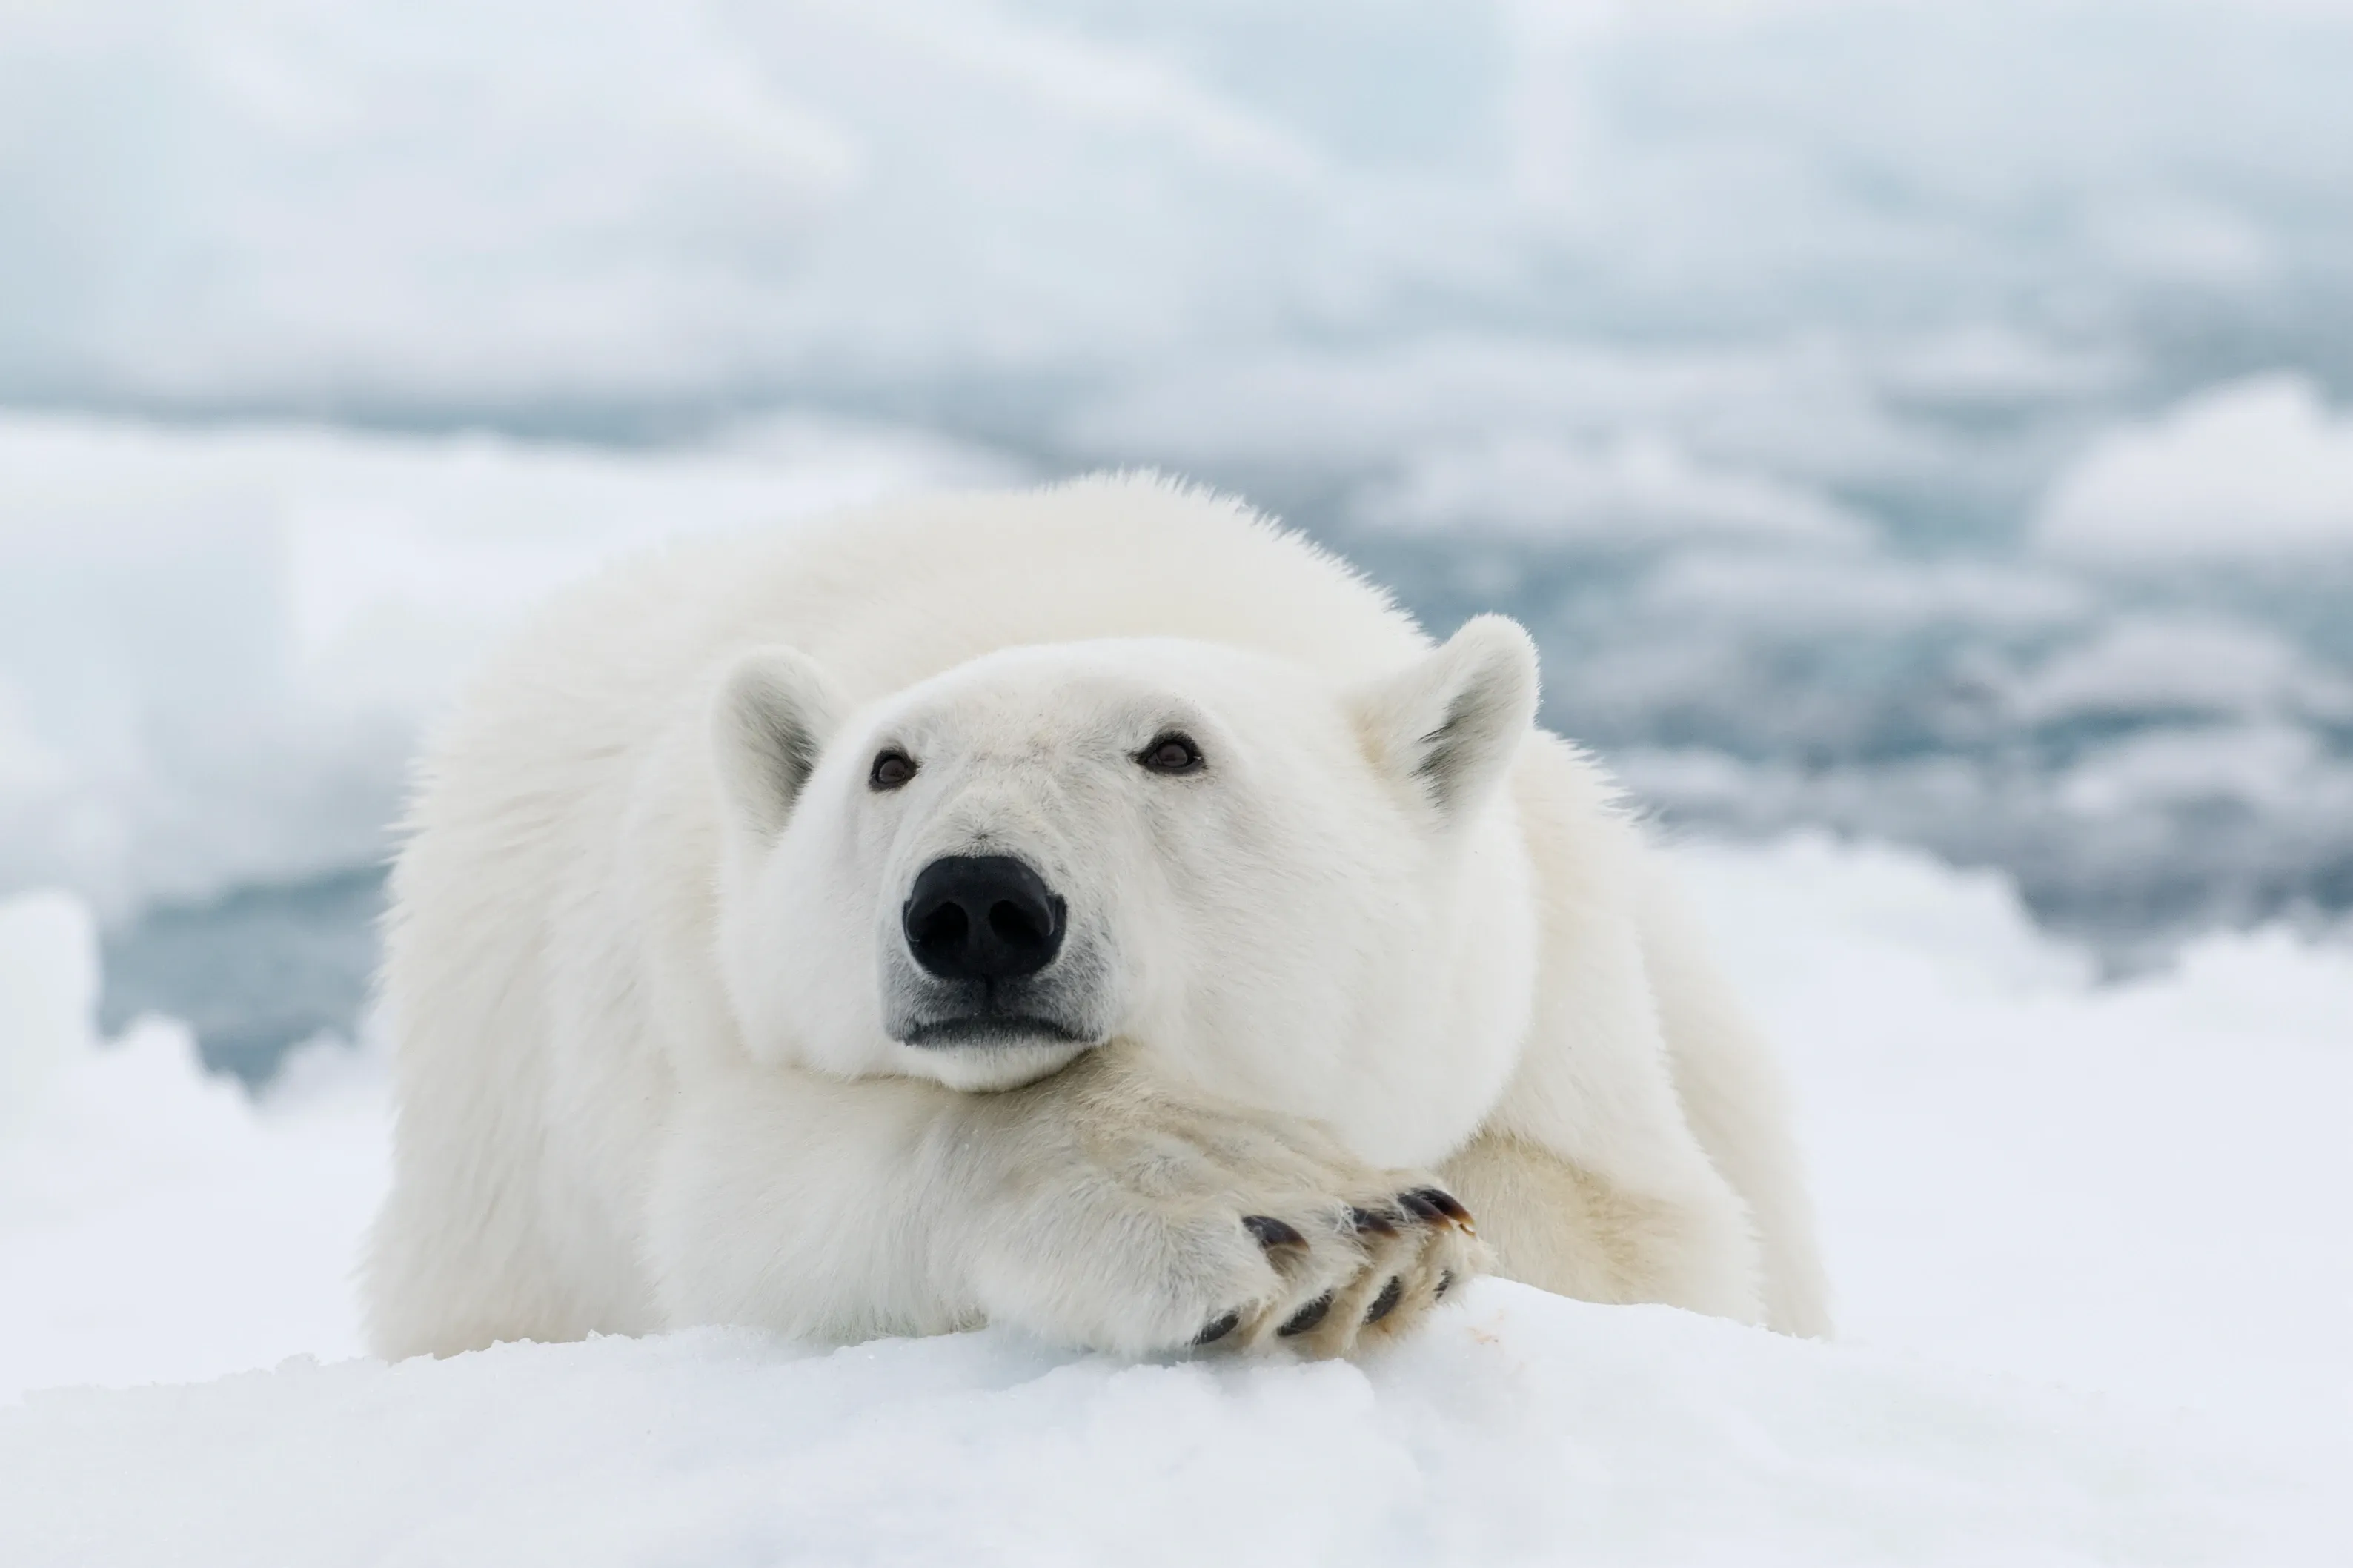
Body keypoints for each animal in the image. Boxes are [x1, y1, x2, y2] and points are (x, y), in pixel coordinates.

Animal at [364, 474, 1831, 1360]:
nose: (977, 904)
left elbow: (1643, 1239)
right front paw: (1292, 1218)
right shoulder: (689, 1008)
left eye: (1173, 750)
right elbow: (747, 1197)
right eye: (889, 765)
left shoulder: (1558, 1000)